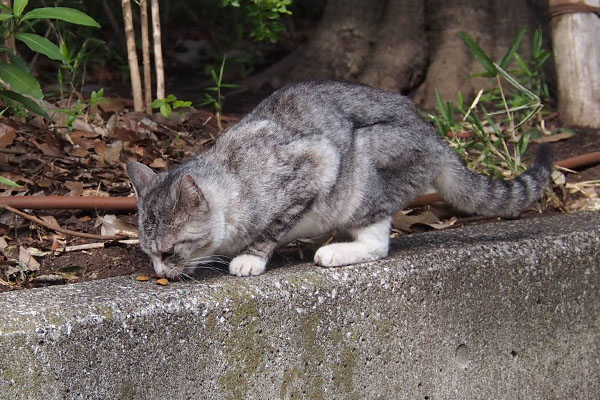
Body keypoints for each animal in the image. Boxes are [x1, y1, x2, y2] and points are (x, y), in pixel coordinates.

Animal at [126, 80, 552, 278]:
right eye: (148, 253)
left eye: (169, 252)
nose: (159, 273)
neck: (231, 177)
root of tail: (436, 138)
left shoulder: (316, 164)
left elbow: (272, 227)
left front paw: (250, 257)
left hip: (366, 166)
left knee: (377, 243)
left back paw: (334, 251)